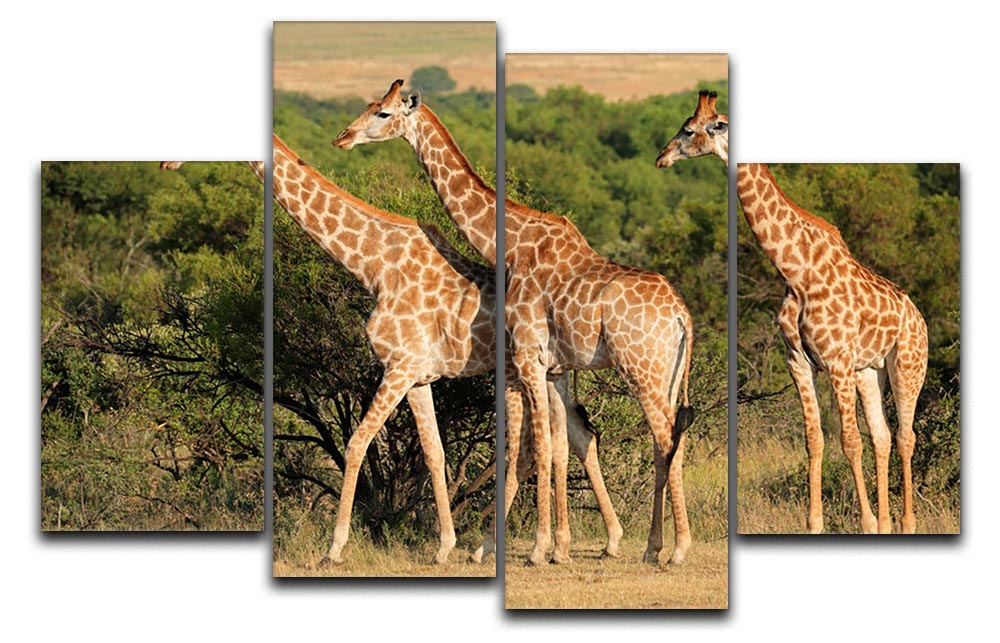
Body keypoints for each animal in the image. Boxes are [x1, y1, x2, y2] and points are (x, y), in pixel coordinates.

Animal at [335, 80, 694, 566]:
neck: (511, 244)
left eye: (384, 113)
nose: (343, 137)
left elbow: (539, 447)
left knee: (665, 439)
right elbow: (556, 445)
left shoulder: (527, 356)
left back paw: (672, 548)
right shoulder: (551, 365)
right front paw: (556, 547)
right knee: (669, 440)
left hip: (642, 369)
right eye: (370, 106)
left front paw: (540, 549)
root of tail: (682, 315)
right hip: (667, 374)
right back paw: (654, 546)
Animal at [736, 163, 928, 533]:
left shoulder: (837, 361)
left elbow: (850, 441)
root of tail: (919, 318)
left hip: (909, 364)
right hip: (868, 371)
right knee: (882, 435)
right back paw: (887, 524)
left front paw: (866, 522)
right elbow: (814, 439)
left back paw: (907, 523)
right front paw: (815, 523)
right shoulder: (797, 361)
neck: (797, 270)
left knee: (905, 436)